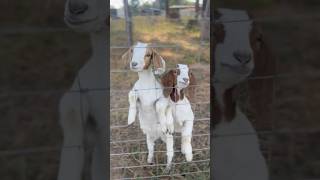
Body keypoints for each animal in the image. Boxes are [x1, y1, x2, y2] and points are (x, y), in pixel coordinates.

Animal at [123, 41, 175, 171]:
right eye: (132, 51)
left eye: (147, 54)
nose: (134, 63)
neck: (146, 85)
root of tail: (157, 136)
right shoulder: (136, 94)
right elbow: (131, 95)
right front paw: (130, 119)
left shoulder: (163, 99)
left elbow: (159, 106)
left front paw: (163, 125)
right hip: (149, 137)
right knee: (151, 149)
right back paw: (149, 161)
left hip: (169, 138)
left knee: (170, 153)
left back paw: (167, 168)